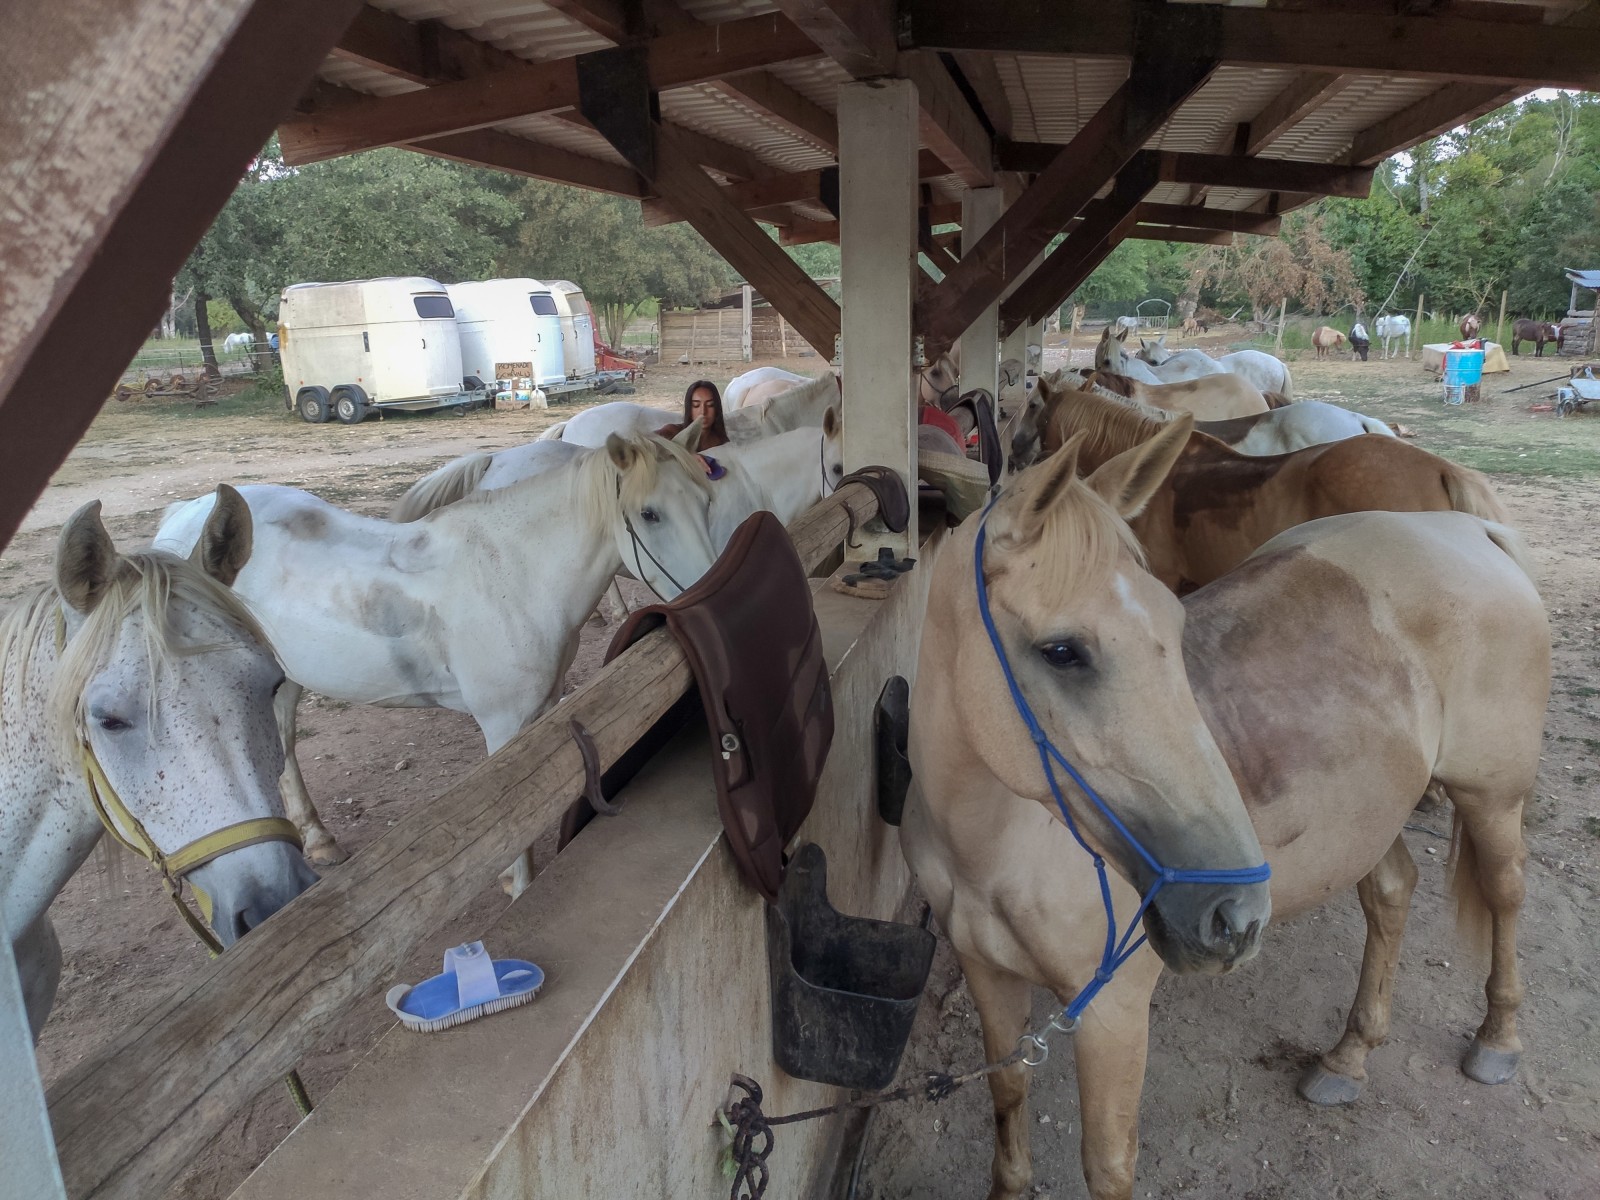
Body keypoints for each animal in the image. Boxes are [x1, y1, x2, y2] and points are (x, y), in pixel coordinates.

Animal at [154, 438, 720, 870]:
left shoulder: (544, 709)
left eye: (707, 500)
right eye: (649, 513)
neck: (512, 572)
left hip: (286, 677)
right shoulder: (503, 727)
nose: (709, 590)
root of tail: (182, 517)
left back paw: (318, 840)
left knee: (285, 745)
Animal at [915, 432, 1548, 1200]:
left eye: (1176, 625)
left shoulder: (1110, 1015)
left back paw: (1497, 1041)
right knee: (1393, 893)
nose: (1234, 915)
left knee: (1506, 894)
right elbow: (1007, 1097)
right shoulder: (988, 976)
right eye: (1063, 652)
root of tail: (1468, 532)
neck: (996, 849)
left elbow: (1107, 1165)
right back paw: (1347, 1058)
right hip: (1368, 821)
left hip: (1492, 798)